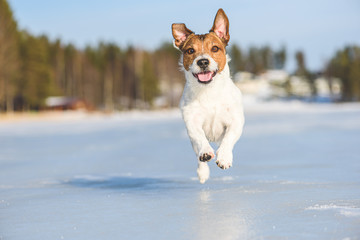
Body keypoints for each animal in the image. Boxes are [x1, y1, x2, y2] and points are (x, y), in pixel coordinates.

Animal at [172, 8, 245, 183]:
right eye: (190, 50)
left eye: (215, 48)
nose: (203, 62)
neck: (209, 91)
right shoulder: (192, 122)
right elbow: (200, 138)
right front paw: (206, 153)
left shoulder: (236, 121)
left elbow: (228, 137)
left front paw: (224, 157)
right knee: (198, 153)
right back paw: (203, 172)